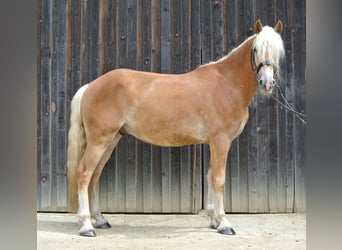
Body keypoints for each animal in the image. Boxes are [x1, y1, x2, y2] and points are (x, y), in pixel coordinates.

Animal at [67, 19, 286, 236]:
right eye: (256, 49)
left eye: (278, 51)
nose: (267, 84)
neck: (226, 83)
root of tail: (90, 86)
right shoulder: (221, 141)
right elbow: (219, 179)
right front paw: (224, 223)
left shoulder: (213, 143)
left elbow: (209, 176)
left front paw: (213, 220)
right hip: (99, 140)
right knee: (84, 173)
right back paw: (86, 225)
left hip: (111, 140)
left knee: (95, 175)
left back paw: (100, 219)